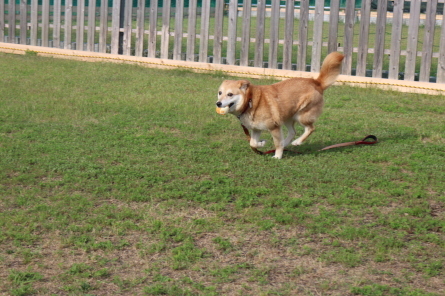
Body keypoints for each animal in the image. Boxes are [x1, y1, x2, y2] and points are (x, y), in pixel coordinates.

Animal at [215, 52, 344, 160]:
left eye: (230, 94)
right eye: (220, 93)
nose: (218, 103)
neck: (250, 102)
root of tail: (317, 82)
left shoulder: (274, 127)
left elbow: (276, 143)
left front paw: (277, 156)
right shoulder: (256, 129)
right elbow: (253, 143)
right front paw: (262, 143)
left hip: (302, 116)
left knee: (310, 128)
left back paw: (297, 142)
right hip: (287, 117)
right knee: (292, 132)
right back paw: (286, 143)